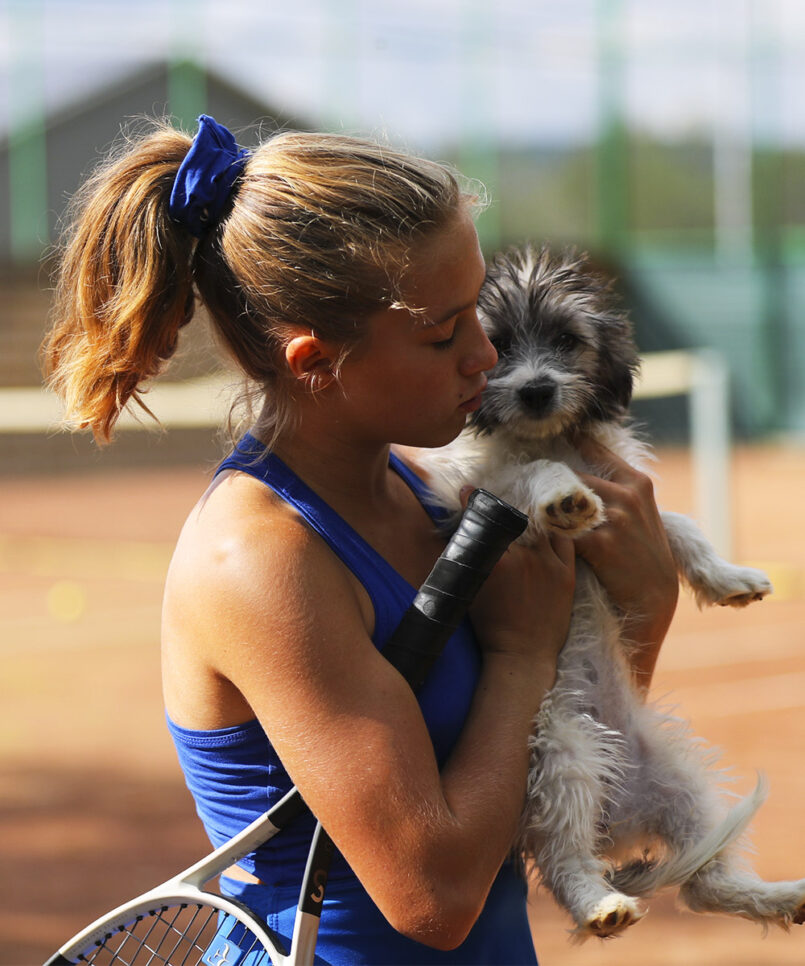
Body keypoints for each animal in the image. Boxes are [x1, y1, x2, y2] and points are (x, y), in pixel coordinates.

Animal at [408, 246, 804, 940]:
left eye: (568, 341)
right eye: (498, 344)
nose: (537, 388)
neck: (551, 436)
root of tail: (616, 819)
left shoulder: (630, 496)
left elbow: (679, 524)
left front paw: (729, 577)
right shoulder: (482, 496)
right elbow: (533, 476)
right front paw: (564, 496)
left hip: (685, 784)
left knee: (704, 887)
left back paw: (779, 897)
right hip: (558, 757)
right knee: (566, 861)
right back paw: (600, 905)